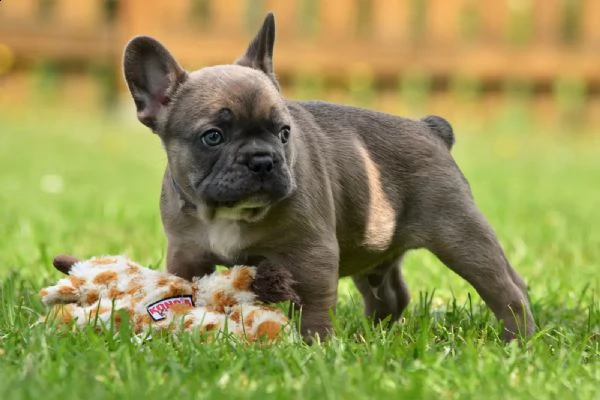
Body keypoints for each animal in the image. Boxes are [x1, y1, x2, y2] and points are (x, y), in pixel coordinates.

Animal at [122, 12, 536, 340]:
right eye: (213, 137)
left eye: (284, 132)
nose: (262, 160)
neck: (229, 214)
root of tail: (430, 128)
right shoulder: (187, 254)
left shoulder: (312, 255)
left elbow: (314, 304)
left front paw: (315, 345)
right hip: (375, 246)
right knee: (392, 295)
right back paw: (374, 335)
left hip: (460, 233)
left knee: (503, 288)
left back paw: (517, 339)